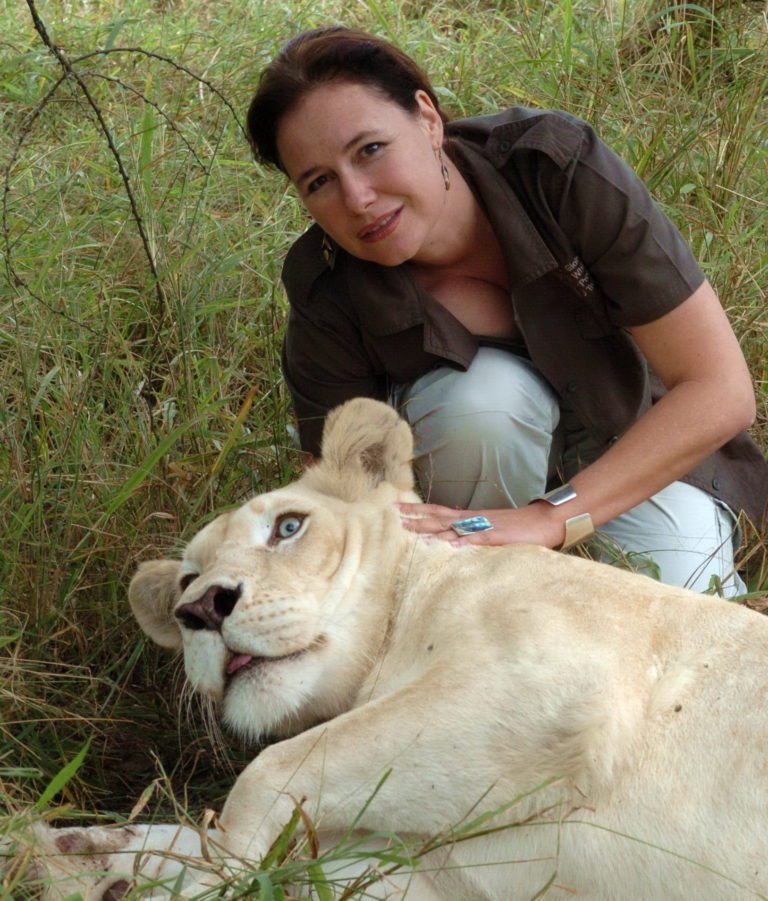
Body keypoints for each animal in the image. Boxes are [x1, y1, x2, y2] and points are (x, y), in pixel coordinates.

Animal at [10, 400, 768, 900]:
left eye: (288, 527)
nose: (199, 610)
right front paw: (68, 853)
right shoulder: (419, 876)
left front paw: (216, 865)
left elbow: (269, 771)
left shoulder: (552, 681)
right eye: (185, 583)